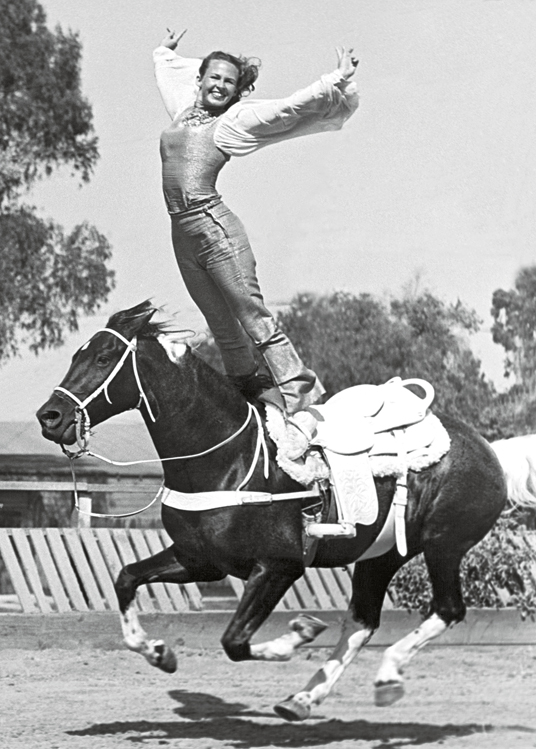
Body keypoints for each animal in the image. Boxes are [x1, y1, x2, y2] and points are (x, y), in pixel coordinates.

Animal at [36, 301, 507, 722]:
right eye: (76, 355)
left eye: (102, 357)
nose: (49, 416)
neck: (230, 458)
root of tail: (488, 450)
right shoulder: (199, 560)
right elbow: (126, 578)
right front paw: (158, 651)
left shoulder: (278, 567)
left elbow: (234, 641)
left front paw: (298, 635)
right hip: (380, 555)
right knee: (361, 623)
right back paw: (302, 700)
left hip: (443, 546)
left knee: (447, 610)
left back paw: (386, 675)